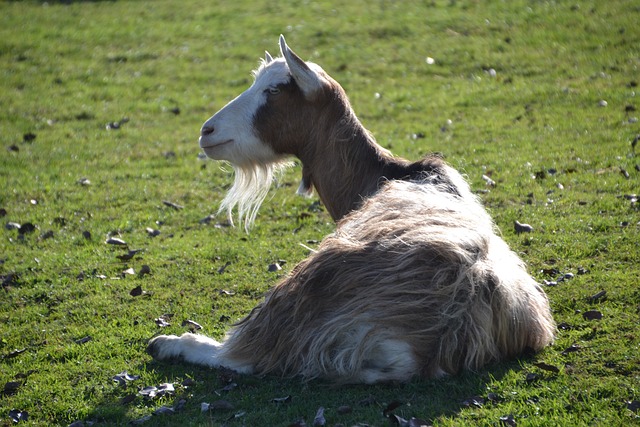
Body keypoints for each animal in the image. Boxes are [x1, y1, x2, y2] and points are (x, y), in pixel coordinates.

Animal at [146, 36, 556, 384]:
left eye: (274, 90)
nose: (207, 132)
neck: (388, 175)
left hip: (306, 289)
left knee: (245, 355)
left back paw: (173, 343)